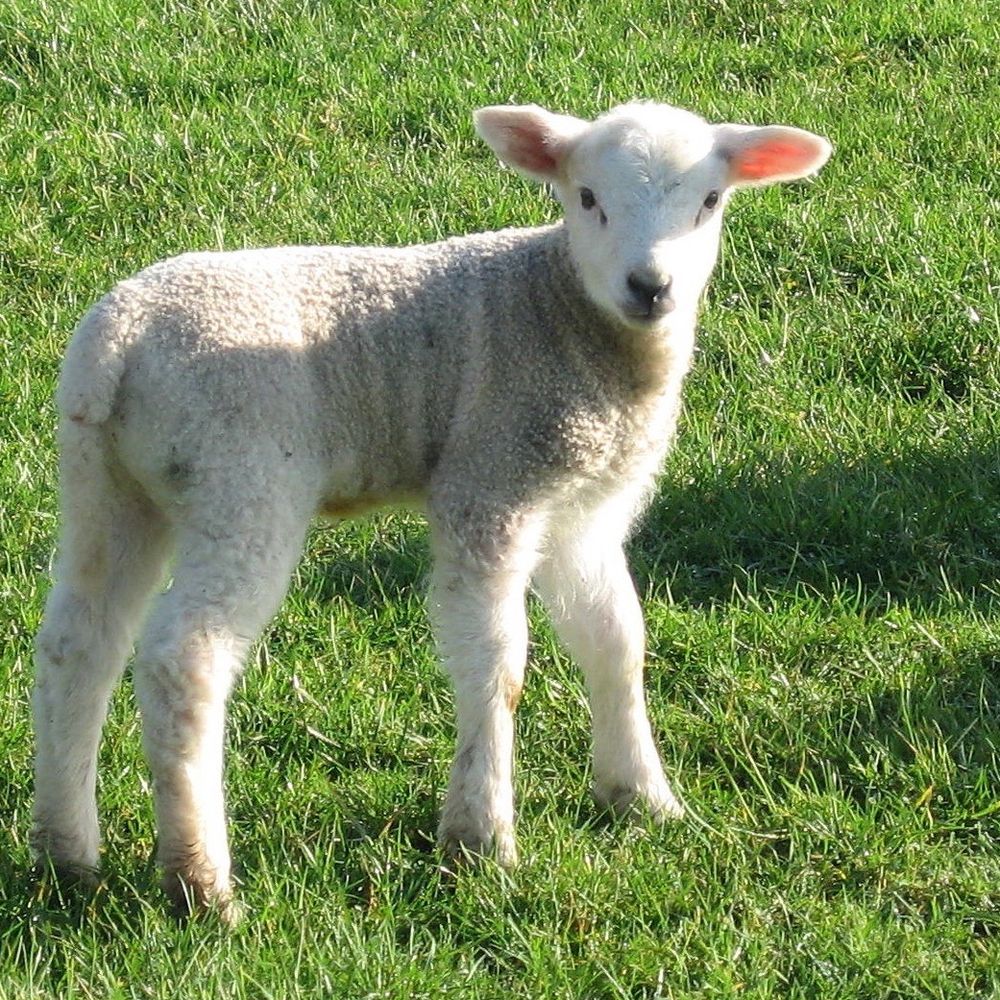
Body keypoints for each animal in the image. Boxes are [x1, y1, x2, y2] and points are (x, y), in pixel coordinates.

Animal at [29, 97, 828, 916]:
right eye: (586, 198)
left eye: (710, 201)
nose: (650, 286)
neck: (563, 315)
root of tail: (117, 340)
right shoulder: (490, 480)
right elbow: (498, 663)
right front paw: (480, 839)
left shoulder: (583, 508)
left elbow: (616, 639)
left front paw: (642, 798)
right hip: (241, 477)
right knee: (180, 658)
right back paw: (202, 884)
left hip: (105, 485)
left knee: (78, 644)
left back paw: (66, 852)